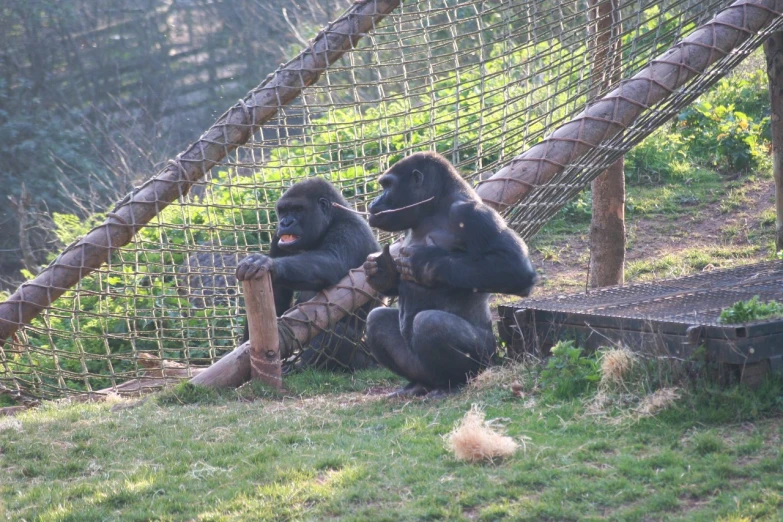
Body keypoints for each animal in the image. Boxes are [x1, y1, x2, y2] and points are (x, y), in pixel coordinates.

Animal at [237, 177, 382, 368]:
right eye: (283, 211)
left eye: (298, 209)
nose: (285, 223)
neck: (332, 219)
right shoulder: (278, 238)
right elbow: (276, 295)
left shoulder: (351, 230)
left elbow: (331, 263)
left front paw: (270, 265)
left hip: (370, 362)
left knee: (336, 331)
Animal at [362, 150, 536, 394]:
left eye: (388, 185)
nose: (374, 202)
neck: (434, 207)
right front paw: (382, 273)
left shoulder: (472, 213)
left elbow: (515, 267)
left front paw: (425, 263)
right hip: (420, 369)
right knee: (376, 320)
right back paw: (416, 384)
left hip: (487, 359)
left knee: (431, 323)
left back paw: (454, 384)